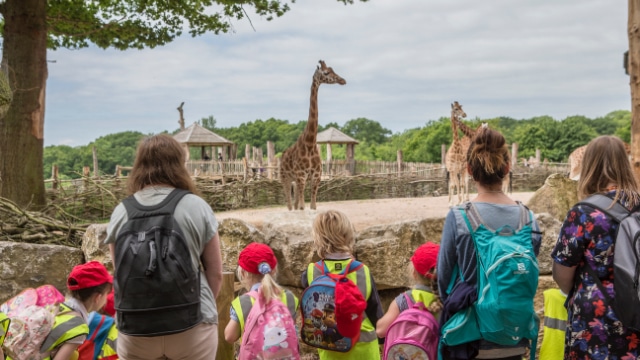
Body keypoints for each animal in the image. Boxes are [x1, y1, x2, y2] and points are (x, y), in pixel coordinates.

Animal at [282, 60, 348, 210]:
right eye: (326, 72)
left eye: (332, 69)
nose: (343, 80)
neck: (310, 142)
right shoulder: (301, 175)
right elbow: (302, 207)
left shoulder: (315, 176)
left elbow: (312, 206)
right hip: (284, 178)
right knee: (289, 204)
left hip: (296, 180)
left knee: (294, 204)